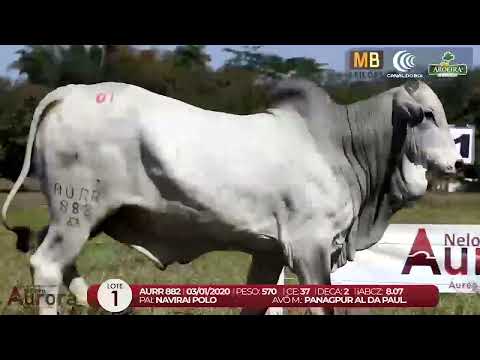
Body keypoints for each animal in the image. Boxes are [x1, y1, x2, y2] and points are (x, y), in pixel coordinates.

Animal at [1, 79, 464, 316]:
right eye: (427, 115)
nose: (459, 162)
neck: (343, 148)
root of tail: (72, 91)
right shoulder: (310, 247)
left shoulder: (271, 252)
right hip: (78, 212)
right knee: (46, 266)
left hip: (86, 217)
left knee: (61, 264)